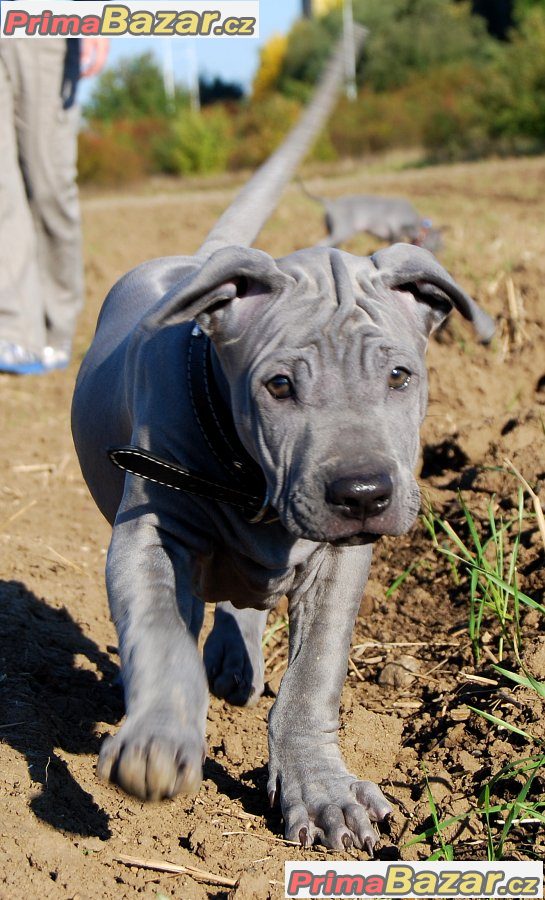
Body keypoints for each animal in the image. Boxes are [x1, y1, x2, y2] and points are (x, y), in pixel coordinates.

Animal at [70, 44, 490, 852]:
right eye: (279, 386)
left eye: (400, 376)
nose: (363, 494)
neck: (249, 476)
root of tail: (203, 260)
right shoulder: (151, 531)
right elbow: (162, 633)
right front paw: (159, 739)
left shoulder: (343, 559)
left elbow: (314, 675)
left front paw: (320, 791)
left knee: (248, 603)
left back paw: (238, 659)